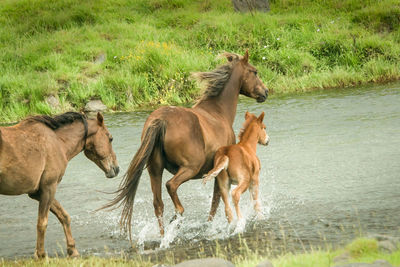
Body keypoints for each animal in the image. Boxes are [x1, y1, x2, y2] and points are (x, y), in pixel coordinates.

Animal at [0, 112, 119, 258]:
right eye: (110, 138)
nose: (116, 169)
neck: (58, 142)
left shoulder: (37, 192)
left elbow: (64, 216)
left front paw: (72, 250)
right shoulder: (49, 187)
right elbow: (42, 223)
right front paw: (41, 255)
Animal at [105, 50, 268, 239]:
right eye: (254, 71)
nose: (265, 92)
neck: (219, 112)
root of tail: (161, 120)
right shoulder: (216, 174)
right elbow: (215, 204)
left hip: (155, 169)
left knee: (158, 204)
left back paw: (164, 234)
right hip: (190, 168)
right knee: (171, 186)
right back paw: (177, 216)